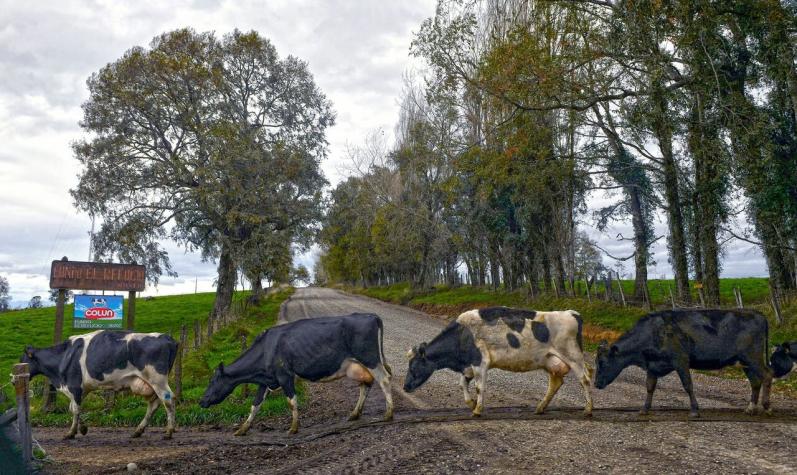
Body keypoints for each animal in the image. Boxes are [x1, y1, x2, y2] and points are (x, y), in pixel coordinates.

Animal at [21, 330, 178, 438]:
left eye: (23, 360)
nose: (15, 377)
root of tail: (166, 337)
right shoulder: (82, 389)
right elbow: (74, 408)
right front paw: (82, 428)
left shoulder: (74, 386)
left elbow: (75, 409)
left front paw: (71, 433)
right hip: (149, 384)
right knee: (153, 404)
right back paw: (138, 431)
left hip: (157, 380)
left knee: (168, 400)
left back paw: (169, 432)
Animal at [199, 314, 392, 436]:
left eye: (212, 381)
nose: (201, 401)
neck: (265, 350)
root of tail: (371, 315)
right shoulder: (266, 380)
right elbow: (255, 405)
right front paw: (242, 429)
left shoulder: (285, 376)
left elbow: (291, 402)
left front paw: (293, 428)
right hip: (358, 365)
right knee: (366, 385)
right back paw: (354, 414)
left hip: (370, 358)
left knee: (384, 380)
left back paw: (388, 414)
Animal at [404, 308, 592, 416]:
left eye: (413, 367)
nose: (405, 387)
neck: (462, 336)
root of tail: (571, 313)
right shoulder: (468, 366)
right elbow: (462, 384)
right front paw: (471, 403)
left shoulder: (480, 362)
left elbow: (479, 387)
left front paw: (477, 410)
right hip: (550, 361)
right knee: (555, 382)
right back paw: (540, 408)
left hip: (573, 355)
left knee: (585, 378)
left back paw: (588, 409)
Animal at [592, 308, 772, 416]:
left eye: (602, 362)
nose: (596, 384)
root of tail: (758, 314)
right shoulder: (652, 366)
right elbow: (649, 387)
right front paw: (644, 409)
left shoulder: (680, 360)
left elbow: (688, 385)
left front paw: (694, 410)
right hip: (744, 361)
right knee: (755, 382)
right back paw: (750, 408)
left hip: (753, 357)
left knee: (767, 375)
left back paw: (767, 406)